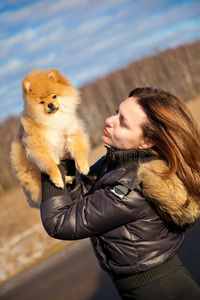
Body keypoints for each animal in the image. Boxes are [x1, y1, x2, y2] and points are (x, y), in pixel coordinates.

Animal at [10, 69, 90, 207]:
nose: (50, 104)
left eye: (54, 96)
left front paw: (83, 166)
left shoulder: (71, 132)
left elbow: (78, 150)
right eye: (42, 102)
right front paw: (57, 178)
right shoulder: (40, 147)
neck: (53, 119)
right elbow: (51, 164)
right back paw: (64, 179)